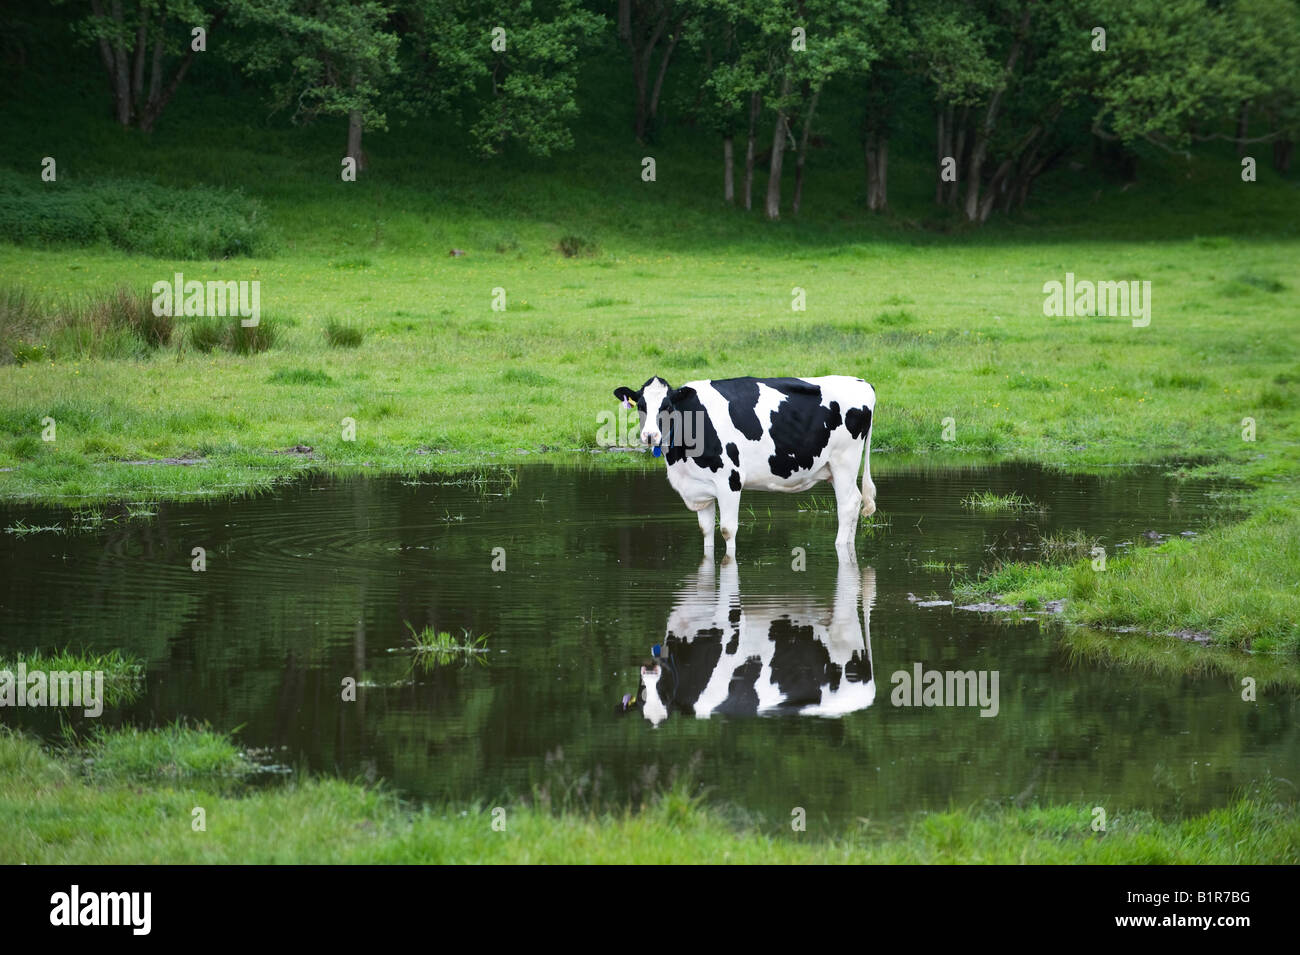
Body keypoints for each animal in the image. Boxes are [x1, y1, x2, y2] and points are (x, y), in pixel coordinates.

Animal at [612, 375, 877, 560]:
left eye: (666, 406)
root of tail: (861, 382)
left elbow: (727, 530)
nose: (650, 436)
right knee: (855, 503)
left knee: (848, 504)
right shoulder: (700, 489)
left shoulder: (729, 481)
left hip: (844, 462)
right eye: (641, 406)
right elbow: (706, 531)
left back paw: (840, 546)